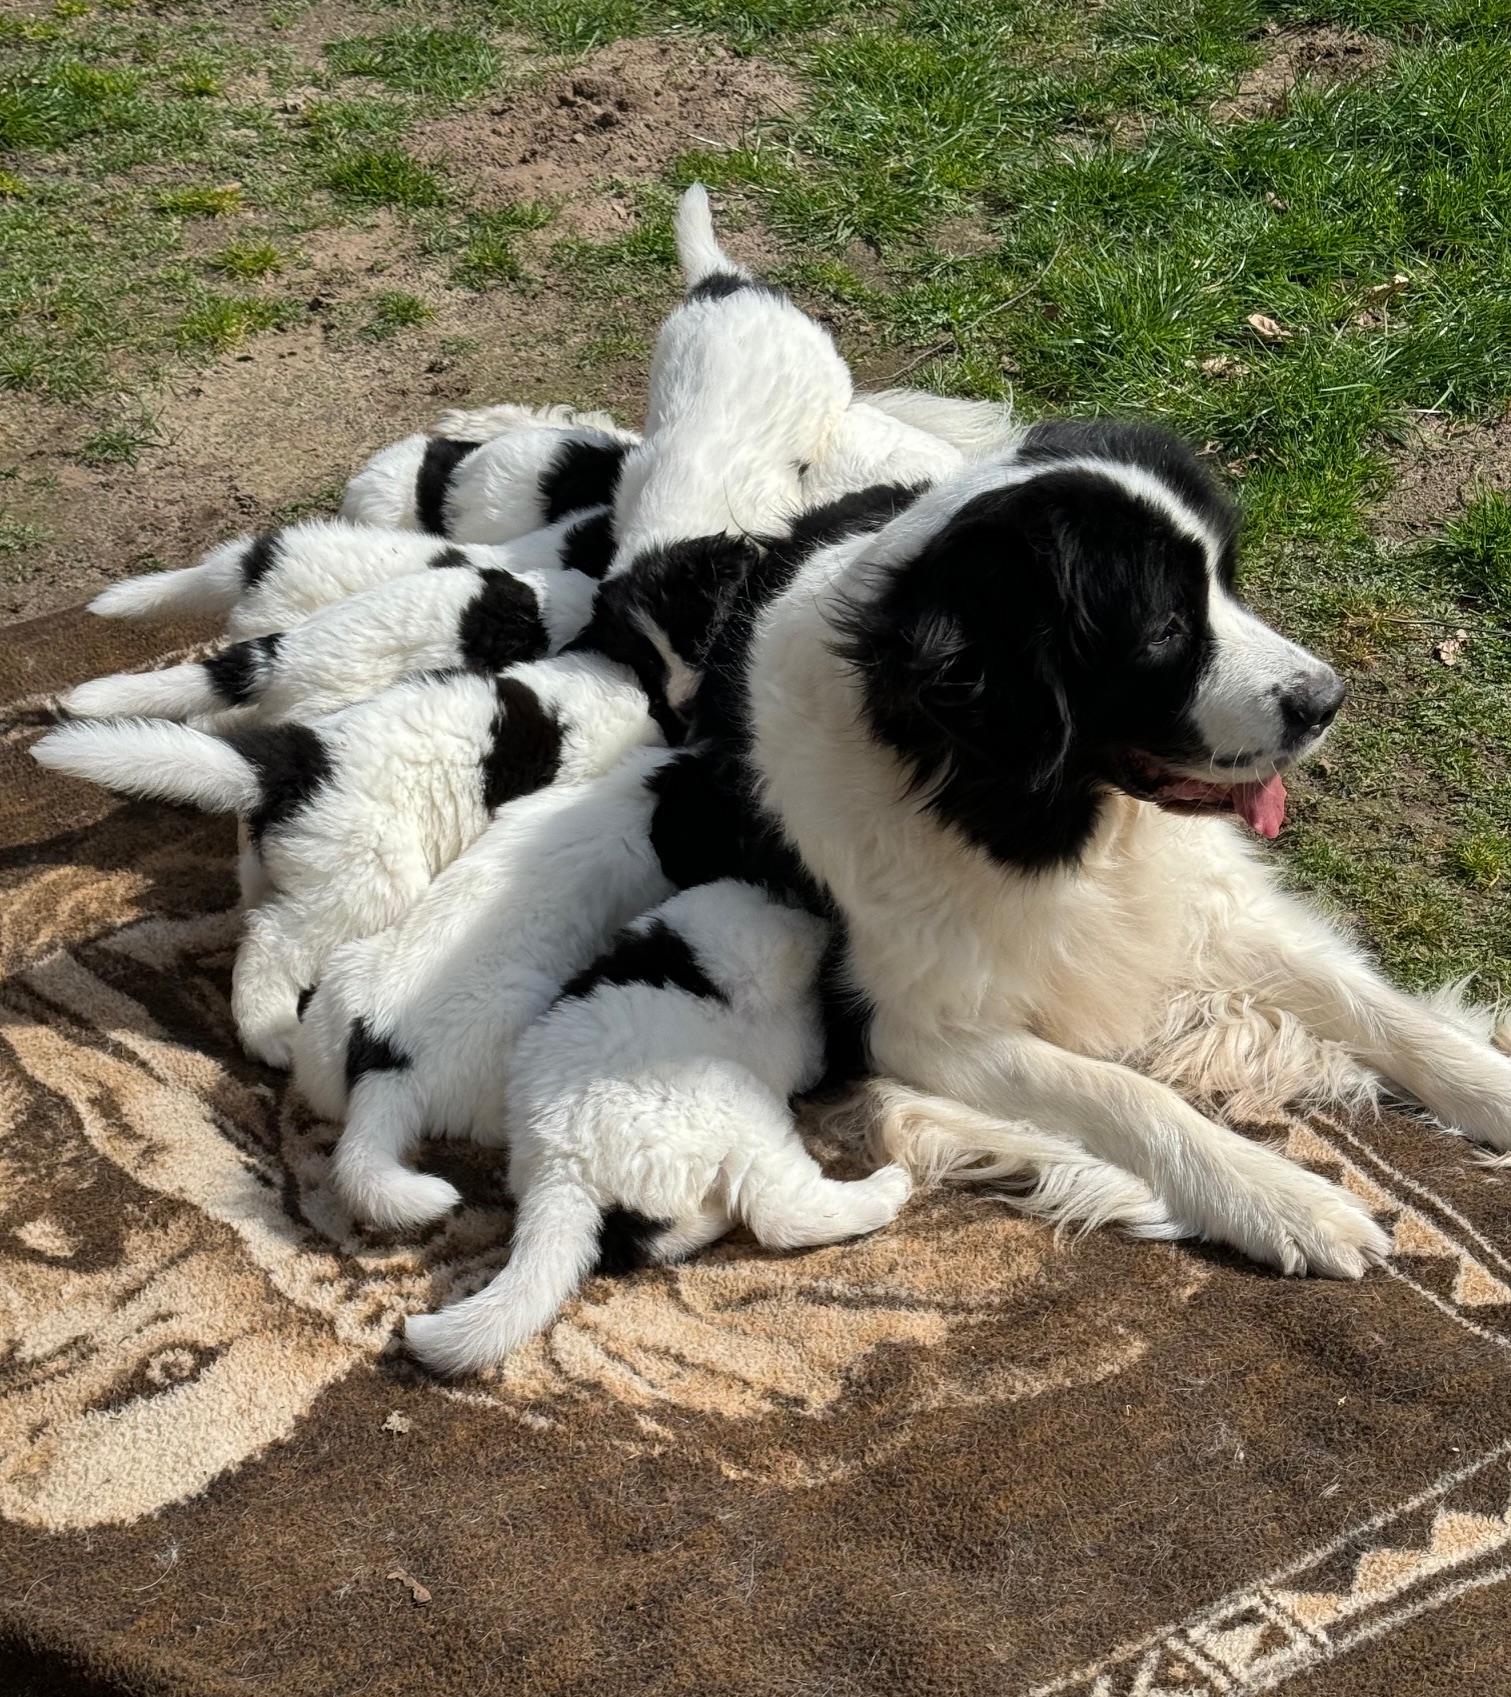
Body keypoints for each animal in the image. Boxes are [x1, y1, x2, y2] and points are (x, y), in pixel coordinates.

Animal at [403, 878, 913, 1376]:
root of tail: (565, 1165)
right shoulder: (766, 954)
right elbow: (801, 956)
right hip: (734, 1103)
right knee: (782, 1213)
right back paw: (884, 1190)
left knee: (653, 1237)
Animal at [729, 418, 1511, 1276]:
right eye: (1165, 629)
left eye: (1226, 584)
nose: (1325, 700)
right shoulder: (904, 1022)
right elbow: (1122, 1089)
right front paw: (1282, 1197)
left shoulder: (1204, 904)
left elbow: (1376, 1007)